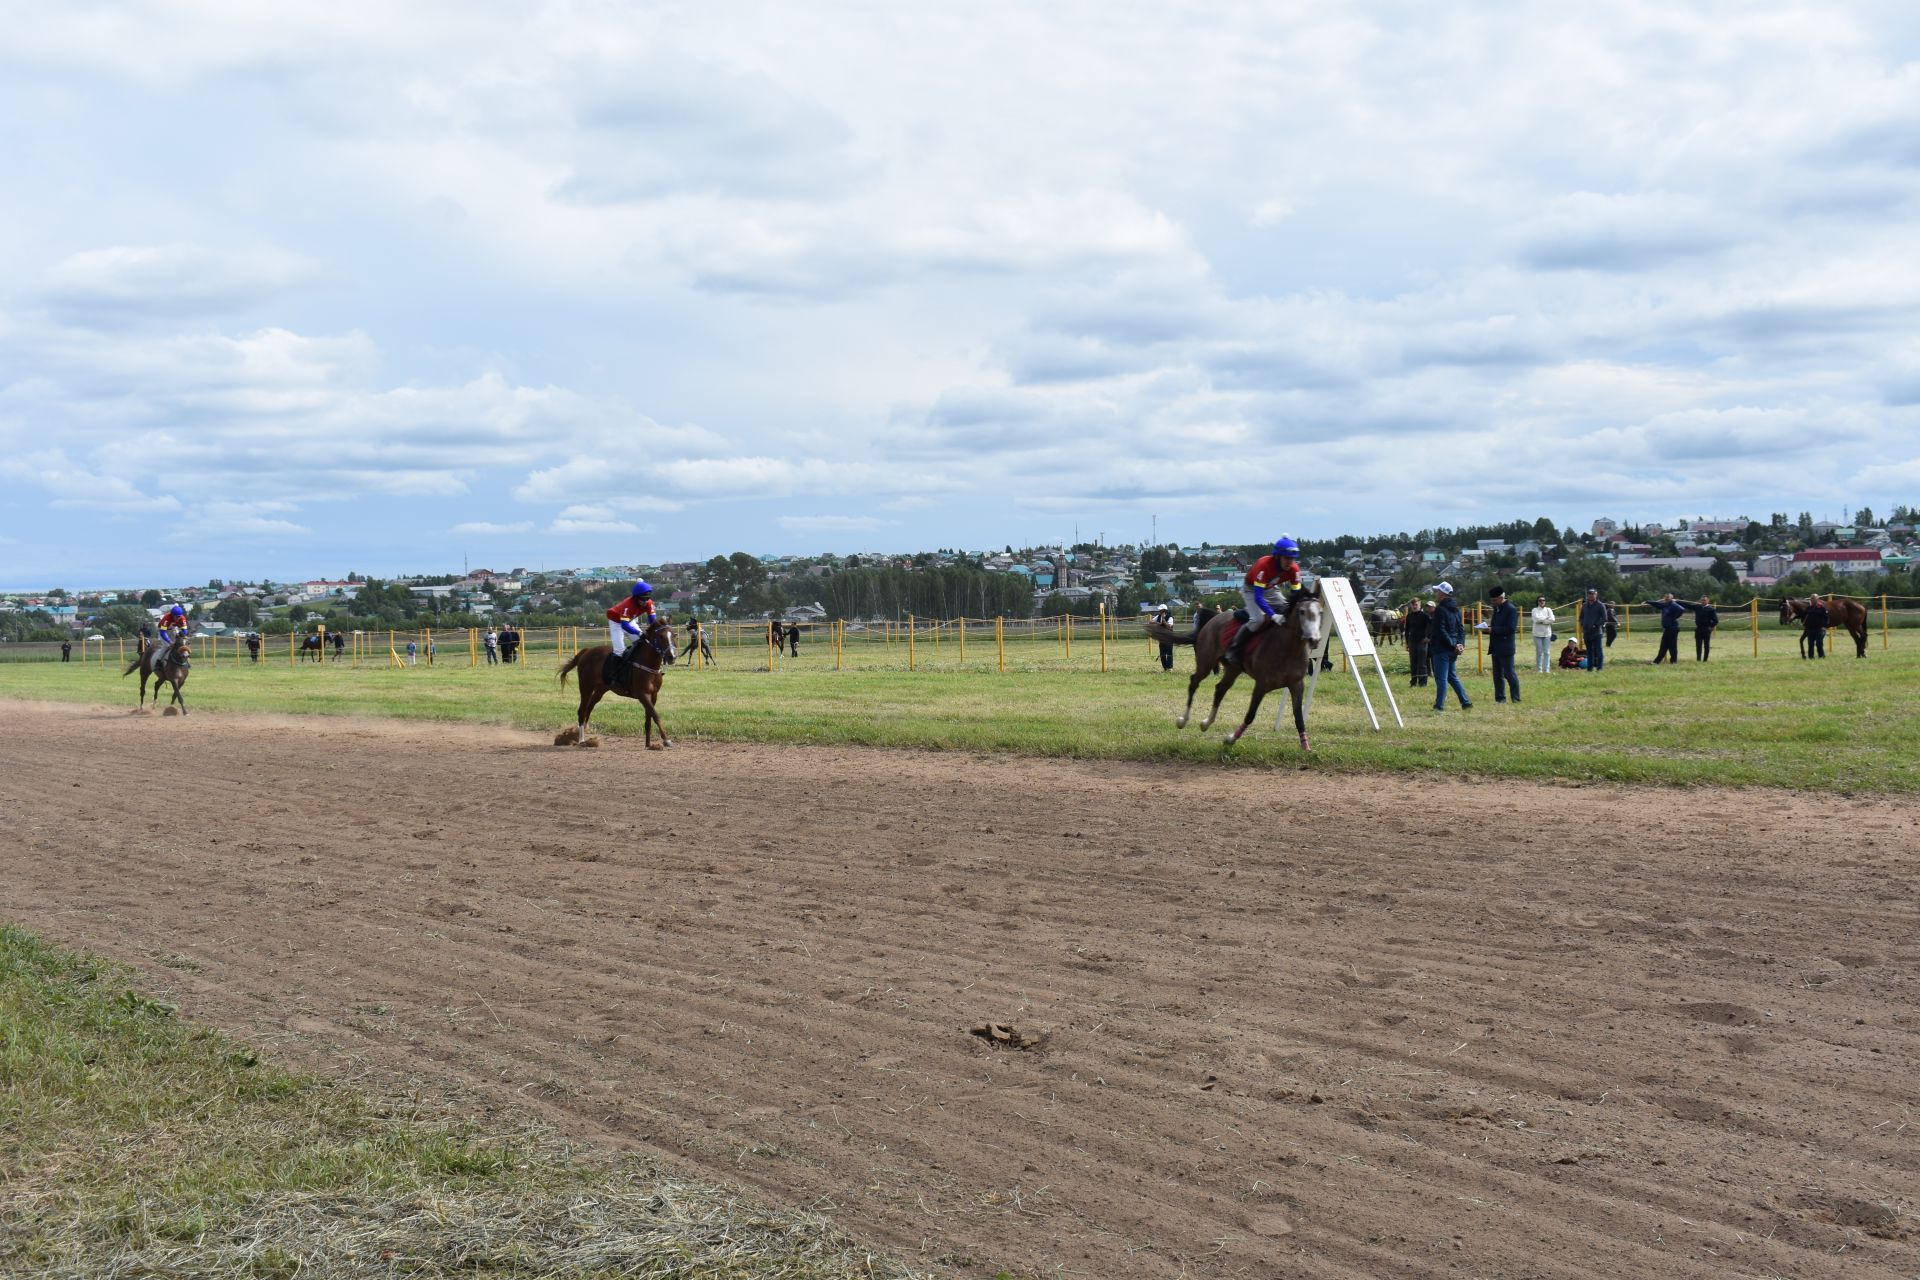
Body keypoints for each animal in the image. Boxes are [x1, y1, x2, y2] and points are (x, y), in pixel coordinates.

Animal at [556, 614, 675, 744]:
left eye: (674, 635)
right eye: (661, 636)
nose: (672, 657)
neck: (648, 664)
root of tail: (587, 651)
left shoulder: (653, 695)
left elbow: (649, 719)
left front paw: (649, 745)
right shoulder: (642, 694)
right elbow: (656, 715)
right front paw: (666, 740)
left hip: (601, 689)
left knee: (589, 707)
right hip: (586, 686)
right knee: (582, 711)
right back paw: (581, 739)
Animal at [1144, 587, 1328, 756]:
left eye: (1320, 612)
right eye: (1301, 611)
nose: (1315, 640)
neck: (1288, 648)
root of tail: (1213, 619)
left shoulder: (1296, 684)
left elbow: (1299, 716)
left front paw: (1306, 746)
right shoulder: (1262, 684)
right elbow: (1250, 715)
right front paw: (1230, 739)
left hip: (1233, 669)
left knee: (1220, 689)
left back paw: (1206, 723)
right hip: (1205, 662)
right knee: (1194, 682)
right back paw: (1183, 720)